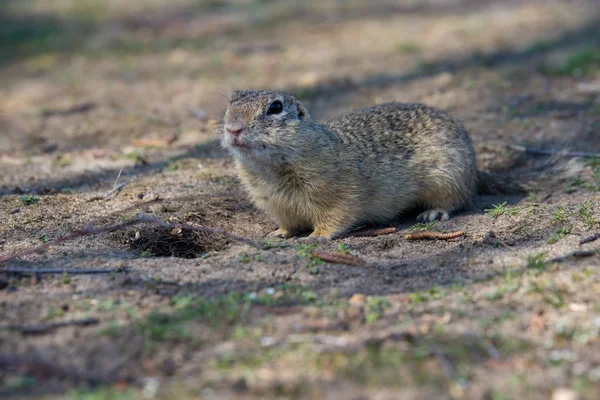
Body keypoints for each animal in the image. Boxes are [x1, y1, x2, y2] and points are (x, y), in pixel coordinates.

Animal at [221, 90, 524, 239]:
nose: (232, 128)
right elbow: (286, 224)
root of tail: (475, 170)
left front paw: (315, 237)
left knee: (458, 200)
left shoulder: (337, 196)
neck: (271, 169)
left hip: (448, 178)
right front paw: (278, 234)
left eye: (275, 107)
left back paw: (433, 212)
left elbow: (335, 219)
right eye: (230, 102)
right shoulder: (276, 205)